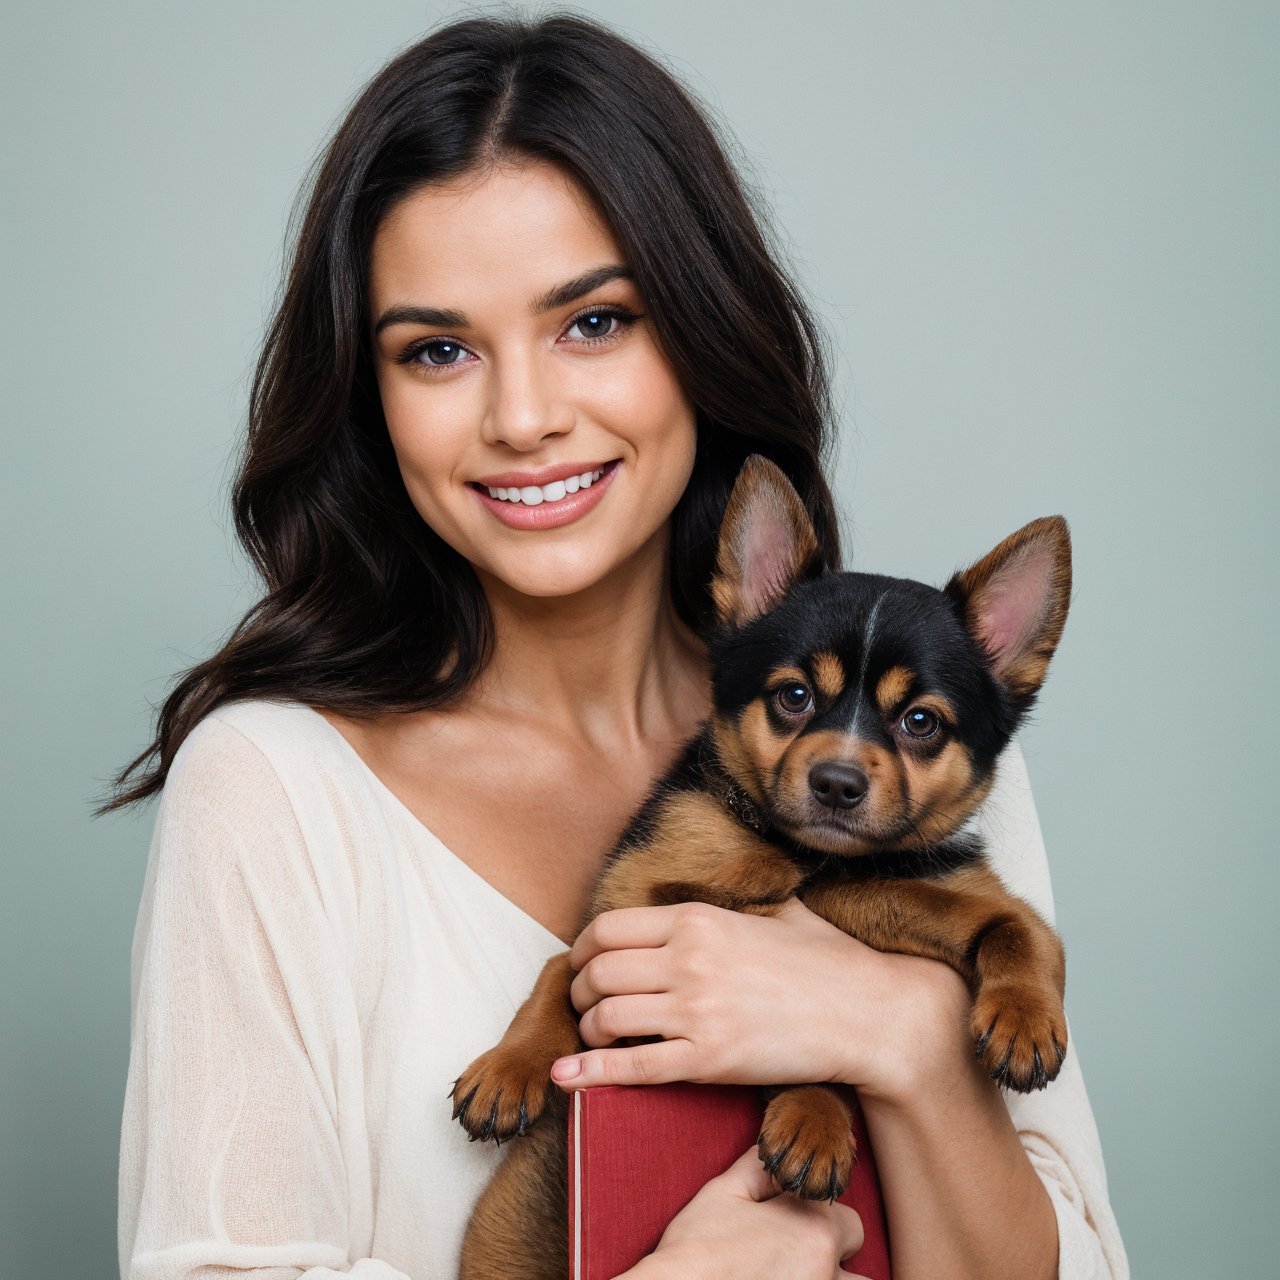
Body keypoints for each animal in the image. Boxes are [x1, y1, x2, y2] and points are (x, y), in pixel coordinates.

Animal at [450, 455, 1070, 1274]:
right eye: (794, 696)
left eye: (920, 722)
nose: (837, 782)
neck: (811, 863)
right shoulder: (628, 904)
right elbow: (561, 965)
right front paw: (512, 1065)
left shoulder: (936, 891)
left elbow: (1019, 927)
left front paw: (1023, 1019)